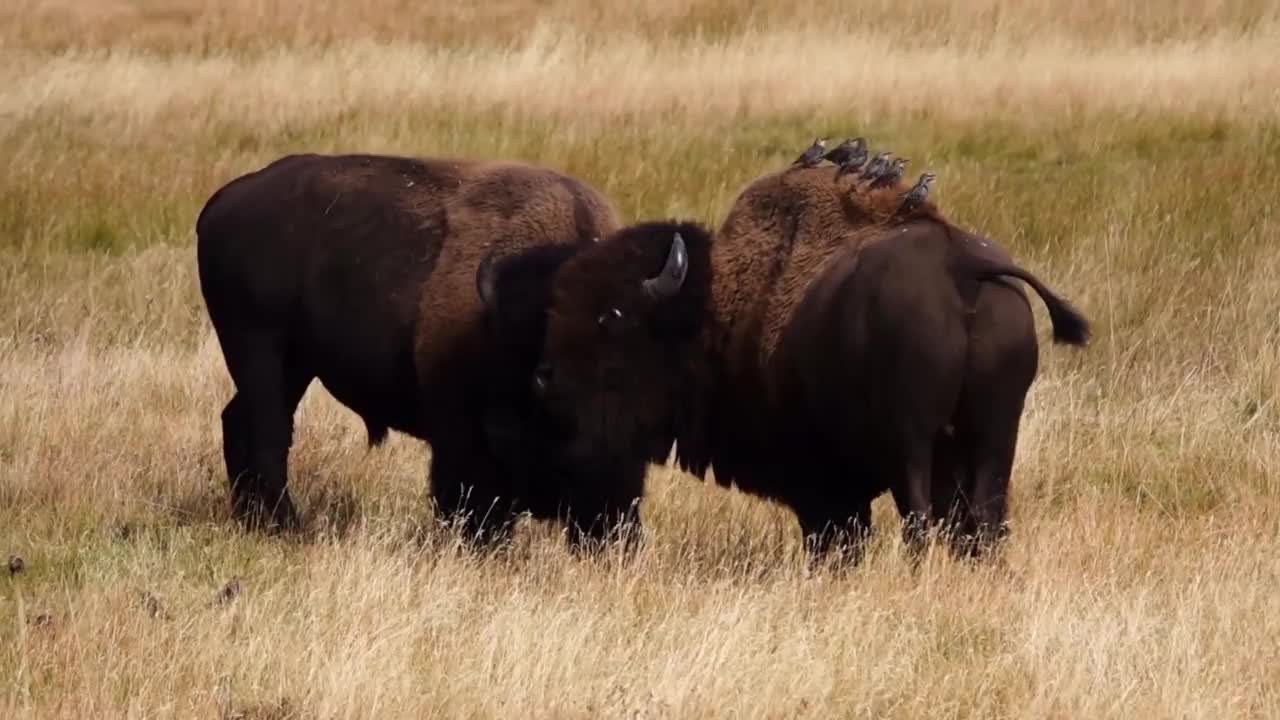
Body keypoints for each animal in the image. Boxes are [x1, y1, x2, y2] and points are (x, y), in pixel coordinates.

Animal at [192, 152, 622, 543]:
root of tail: (223, 202)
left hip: (294, 365)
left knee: (240, 420)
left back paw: (251, 519)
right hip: (260, 349)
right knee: (269, 431)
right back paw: (286, 526)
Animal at [481, 159, 1090, 558]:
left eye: (613, 318)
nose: (544, 380)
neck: (716, 311)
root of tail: (963, 267)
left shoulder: (825, 490)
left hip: (915, 444)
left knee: (920, 521)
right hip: (995, 435)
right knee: (983, 522)